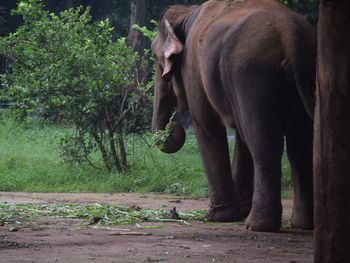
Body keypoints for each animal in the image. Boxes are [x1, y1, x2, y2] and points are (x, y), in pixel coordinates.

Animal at [152, 0, 316, 233]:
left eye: (156, 60)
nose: (173, 126)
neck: (187, 12)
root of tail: (292, 36)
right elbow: (240, 133)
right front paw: (236, 213)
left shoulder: (193, 69)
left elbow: (207, 127)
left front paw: (218, 217)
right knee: (298, 144)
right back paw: (301, 224)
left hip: (251, 74)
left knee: (264, 143)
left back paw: (258, 225)